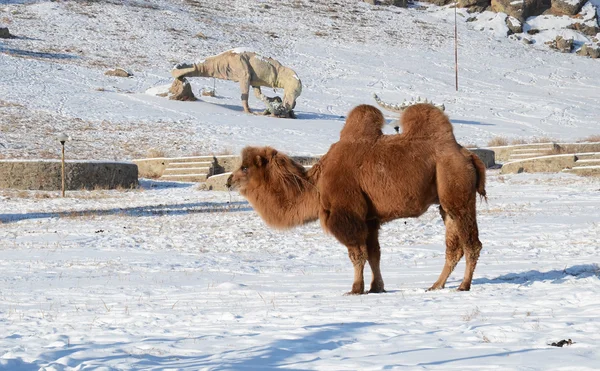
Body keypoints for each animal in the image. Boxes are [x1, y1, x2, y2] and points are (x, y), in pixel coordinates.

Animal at [227, 103, 486, 294]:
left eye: (245, 167)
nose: (229, 181)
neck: (317, 184)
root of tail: (468, 154)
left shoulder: (345, 213)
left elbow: (357, 254)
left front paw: (355, 289)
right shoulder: (369, 218)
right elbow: (374, 253)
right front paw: (376, 287)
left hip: (456, 187)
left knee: (471, 241)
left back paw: (464, 285)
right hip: (444, 200)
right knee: (454, 245)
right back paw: (436, 285)